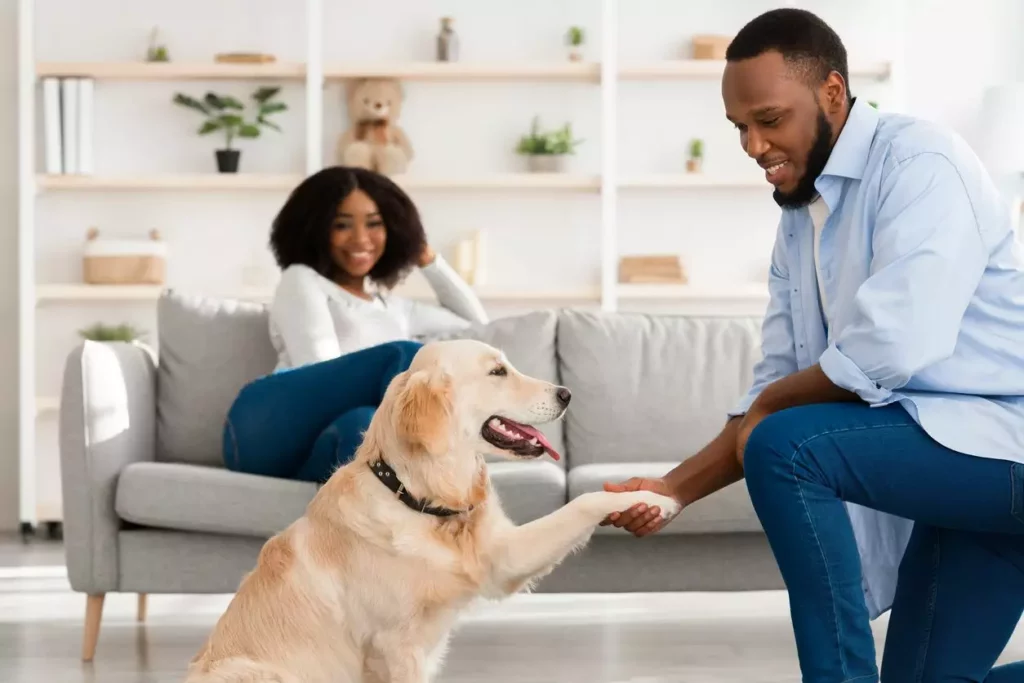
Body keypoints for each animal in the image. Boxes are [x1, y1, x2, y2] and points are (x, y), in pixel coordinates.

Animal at [186, 339, 679, 683]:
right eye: (498, 371)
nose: (567, 393)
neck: (419, 498)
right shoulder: (394, 647)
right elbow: (582, 500)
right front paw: (659, 498)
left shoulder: (500, 560)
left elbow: (581, 502)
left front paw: (650, 495)